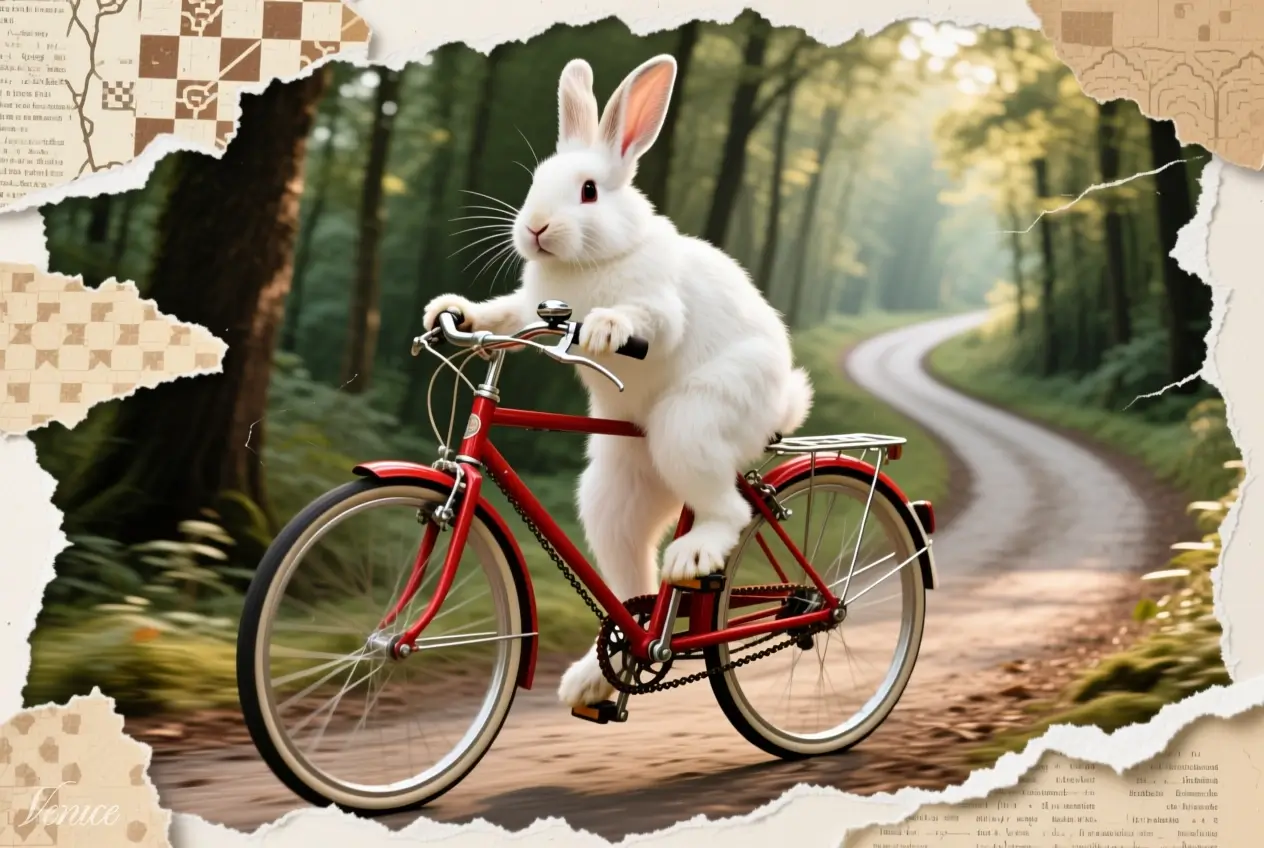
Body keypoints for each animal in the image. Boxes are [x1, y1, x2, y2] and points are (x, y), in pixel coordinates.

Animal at [423, 54, 814, 709]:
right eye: (535, 182)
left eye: (589, 191)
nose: (535, 228)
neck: (590, 260)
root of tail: (782, 414)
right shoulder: (529, 311)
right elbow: (504, 318)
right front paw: (451, 313)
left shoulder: (658, 305)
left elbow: (648, 318)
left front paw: (606, 328)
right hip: (617, 485)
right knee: (634, 582)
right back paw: (594, 678)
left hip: (693, 425)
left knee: (730, 512)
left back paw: (695, 555)